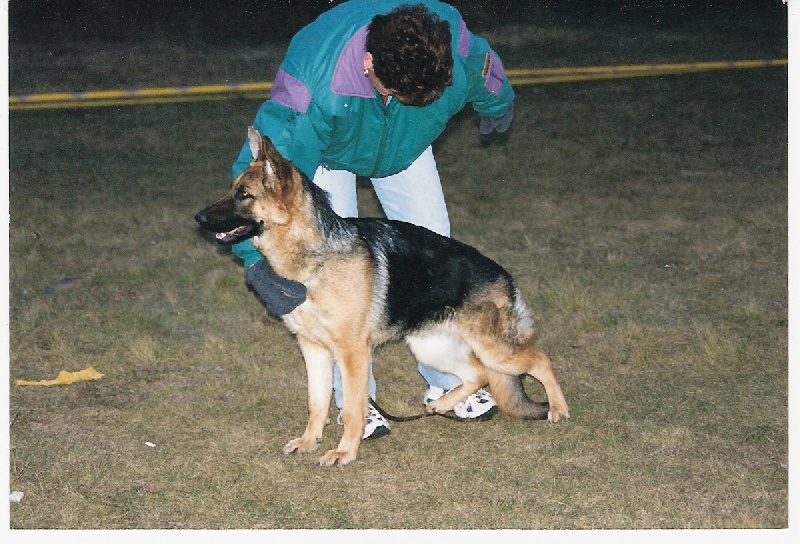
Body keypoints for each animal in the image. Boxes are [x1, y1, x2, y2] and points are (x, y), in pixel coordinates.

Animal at [194, 129, 568, 468]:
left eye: (243, 194)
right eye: (232, 189)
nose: (197, 218)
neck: (316, 258)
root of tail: (504, 275)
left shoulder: (353, 354)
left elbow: (354, 408)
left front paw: (345, 452)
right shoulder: (314, 350)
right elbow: (317, 403)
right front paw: (310, 441)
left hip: (496, 350)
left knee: (540, 360)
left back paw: (558, 409)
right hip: (431, 348)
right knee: (478, 374)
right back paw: (443, 404)